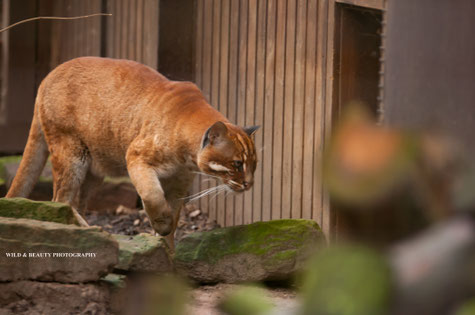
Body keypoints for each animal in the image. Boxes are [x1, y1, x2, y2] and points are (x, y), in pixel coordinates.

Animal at [6, 56, 260, 249]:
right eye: (237, 163)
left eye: (254, 165)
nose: (249, 184)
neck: (186, 157)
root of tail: (47, 77)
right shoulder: (136, 157)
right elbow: (152, 195)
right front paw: (162, 225)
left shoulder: (178, 184)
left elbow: (174, 217)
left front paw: (168, 253)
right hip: (70, 153)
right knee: (60, 199)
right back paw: (88, 230)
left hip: (93, 169)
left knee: (76, 201)